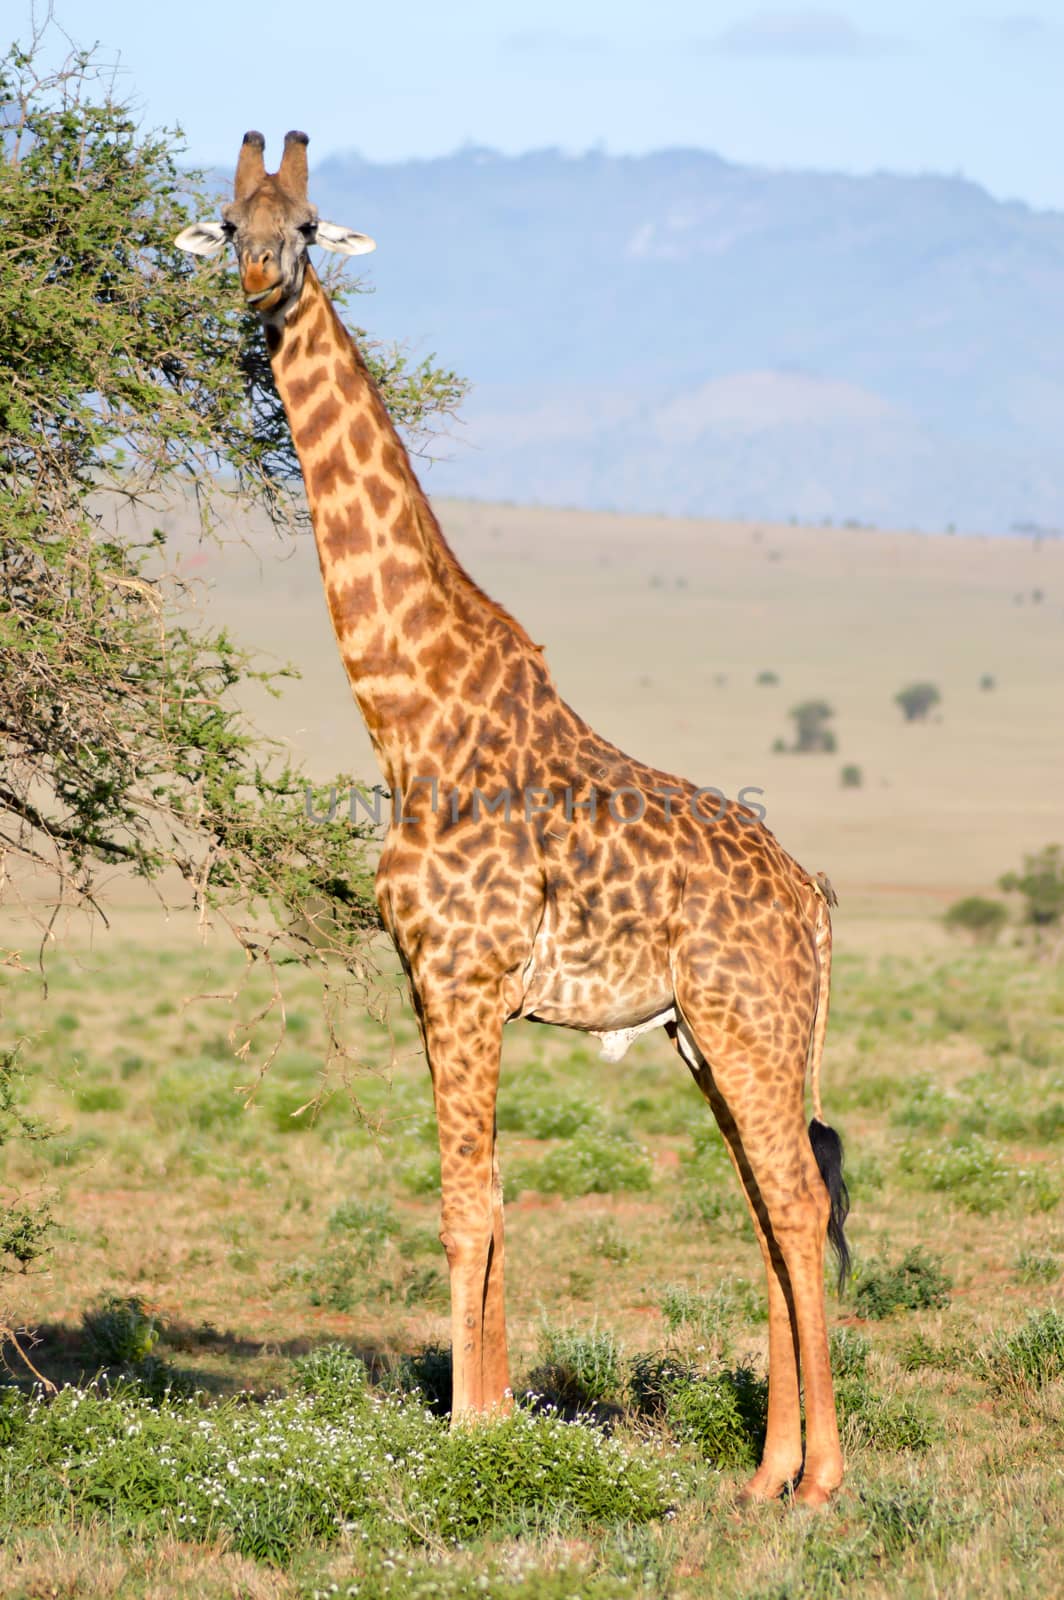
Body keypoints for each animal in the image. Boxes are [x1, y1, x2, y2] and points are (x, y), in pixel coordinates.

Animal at [178, 131, 851, 1504]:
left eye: (310, 225)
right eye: (225, 222)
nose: (261, 281)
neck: (407, 714)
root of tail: (812, 901)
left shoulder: (463, 974)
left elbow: (464, 1203)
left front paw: (468, 1436)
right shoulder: (431, 982)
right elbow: (484, 1196)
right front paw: (488, 1421)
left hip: (747, 1022)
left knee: (798, 1201)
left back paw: (821, 1481)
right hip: (708, 1034)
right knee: (769, 1203)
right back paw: (762, 1476)